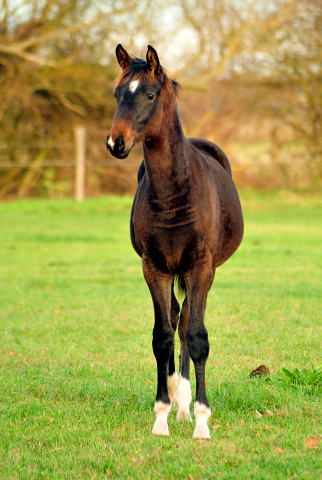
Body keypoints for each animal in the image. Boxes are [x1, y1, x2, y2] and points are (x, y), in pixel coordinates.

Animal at [106, 46, 244, 438]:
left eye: (150, 94)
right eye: (118, 94)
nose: (115, 142)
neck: (172, 194)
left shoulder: (199, 266)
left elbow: (197, 337)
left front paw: (202, 421)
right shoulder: (154, 267)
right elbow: (161, 336)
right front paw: (161, 415)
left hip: (206, 272)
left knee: (187, 326)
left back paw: (187, 406)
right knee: (175, 320)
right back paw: (177, 401)